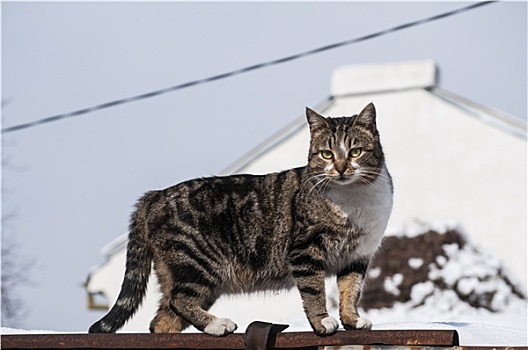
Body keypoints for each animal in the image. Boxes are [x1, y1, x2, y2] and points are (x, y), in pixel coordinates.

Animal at [88, 103, 392, 336]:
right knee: (178, 300)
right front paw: (322, 322)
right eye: (326, 154)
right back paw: (217, 325)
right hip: (198, 263)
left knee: (161, 320)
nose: (340, 169)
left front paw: (352, 320)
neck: (354, 199)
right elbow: (313, 290)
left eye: (355, 152)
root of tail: (154, 196)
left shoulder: (357, 256)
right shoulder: (305, 250)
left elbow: (350, 290)